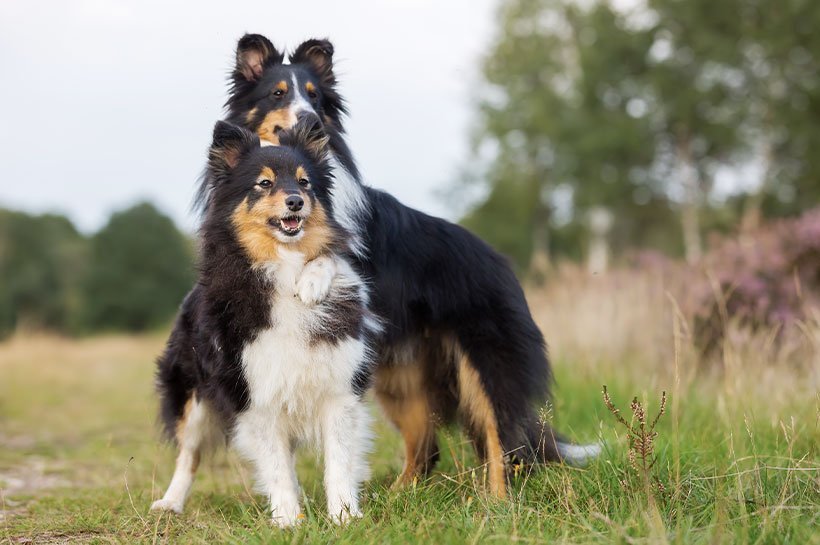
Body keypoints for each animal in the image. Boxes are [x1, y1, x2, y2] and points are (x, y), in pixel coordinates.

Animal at [152, 120, 376, 528]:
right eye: (264, 183)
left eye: (305, 182)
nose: (296, 202)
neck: (282, 266)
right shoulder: (254, 395)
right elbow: (274, 466)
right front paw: (287, 520)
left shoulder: (338, 389)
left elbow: (338, 460)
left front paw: (344, 518)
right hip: (192, 397)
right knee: (189, 453)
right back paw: (170, 503)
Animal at [204, 34, 600, 500]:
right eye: (278, 93)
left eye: (315, 97)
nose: (310, 117)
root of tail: (502, 262)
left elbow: (329, 254)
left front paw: (313, 281)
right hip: (398, 374)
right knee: (427, 446)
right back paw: (399, 496)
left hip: (484, 361)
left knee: (502, 438)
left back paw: (497, 502)